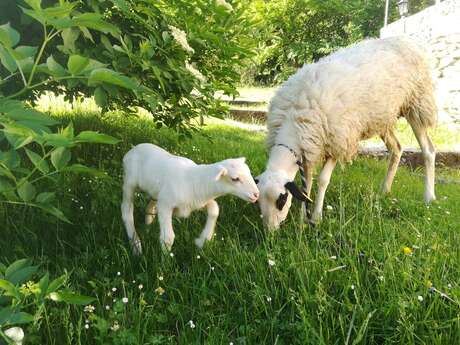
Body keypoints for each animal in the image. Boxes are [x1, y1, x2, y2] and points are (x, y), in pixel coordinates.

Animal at [121, 142, 258, 253]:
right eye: (235, 179)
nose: (256, 194)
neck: (195, 181)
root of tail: (133, 149)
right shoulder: (165, 204)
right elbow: (168, 238)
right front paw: (164, 262)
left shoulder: (195, 202)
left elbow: (214, 209)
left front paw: (203, 240)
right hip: (129, 182)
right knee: (126, 210)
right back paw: (136, 245)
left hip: (155, 191)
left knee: (150, 207)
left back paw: (148, 227)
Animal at [256, 37, 436, 228]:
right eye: (258, 201)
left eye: (281, 200)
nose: (270, 231)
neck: (294, 122)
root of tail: (405, 41)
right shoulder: (310, 147)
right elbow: (307, 183)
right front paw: (302, 220)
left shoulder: (338, 140)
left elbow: (322, 180)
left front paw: (316, 217)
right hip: (382, 118)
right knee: (397, 148)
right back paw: (384, 190)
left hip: (417, 103)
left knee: (428, 150)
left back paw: (429, 197)